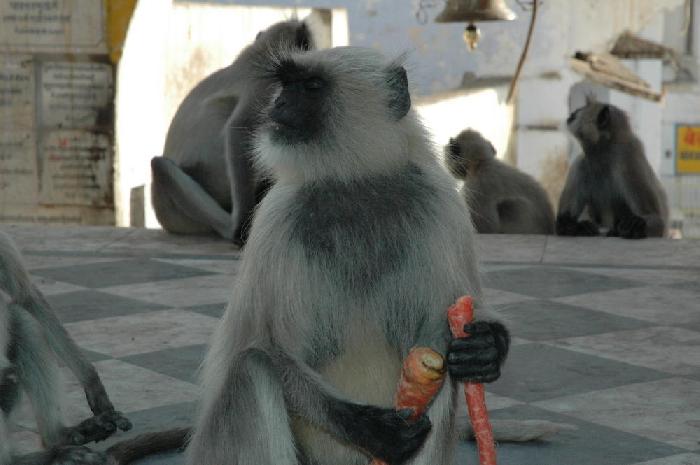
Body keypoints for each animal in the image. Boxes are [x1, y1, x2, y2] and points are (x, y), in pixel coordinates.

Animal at [151, 19, 314, 246]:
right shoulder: (265, 85)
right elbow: (238, 131)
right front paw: (242, 223)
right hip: (176, 214)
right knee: (160, 166)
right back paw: (233, 228)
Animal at [183, 48, 512, 464]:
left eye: (311, 86)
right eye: (285, 85)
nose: (278, 104)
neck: (354, 184)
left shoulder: (439, 200)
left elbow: (450, 321)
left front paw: (487, 346)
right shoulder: (277, 218)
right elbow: (258, 347)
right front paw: (369, 428)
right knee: (251, 368)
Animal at [556, 99, 668, 237]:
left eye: (584, 108)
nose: (574, 112)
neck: (602, 155)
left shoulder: (627, 159)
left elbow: (658, 221)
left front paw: (636, 225)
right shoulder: (580, 165)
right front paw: (573, 226)